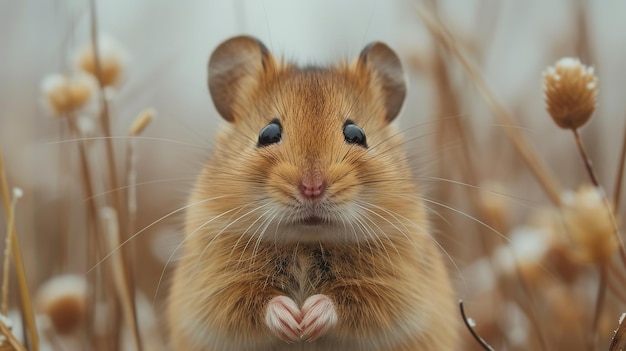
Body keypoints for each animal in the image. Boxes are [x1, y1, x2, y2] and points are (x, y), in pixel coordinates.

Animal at [166, 36, 456, 351]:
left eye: (357, 134)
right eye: (267, 134)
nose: (312, 187)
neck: (306, 241)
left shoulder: (398, 289)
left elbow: (350, 301)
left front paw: (308, 318)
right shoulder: (214, 288)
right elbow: (252, 301)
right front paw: (293, 320)